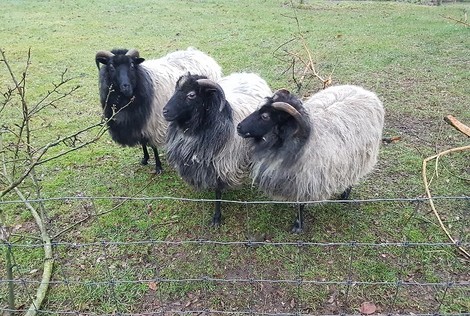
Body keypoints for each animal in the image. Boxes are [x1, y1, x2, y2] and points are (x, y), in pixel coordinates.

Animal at [162, 72, 272, 225]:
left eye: (191, 95)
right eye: (176, 90)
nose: (164, 111)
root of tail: (250, 74)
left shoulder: (221, 164)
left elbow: (218, 191)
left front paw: (217, 217)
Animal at [237, 85, 384, 233]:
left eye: (265, 116)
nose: (238, 127)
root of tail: (363, 91)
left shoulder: (306, 180)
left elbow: (301, 204)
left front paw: (298, 225)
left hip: (359, 158)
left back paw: (345, 195)